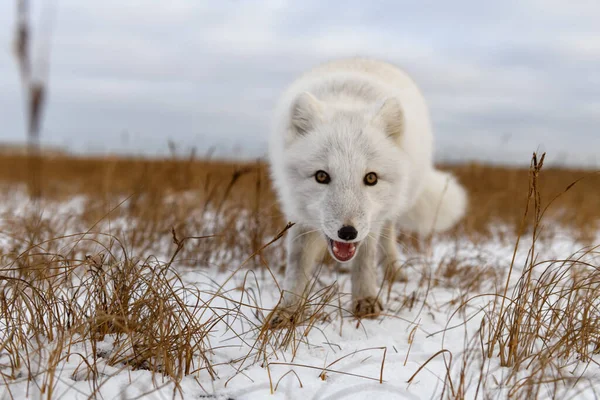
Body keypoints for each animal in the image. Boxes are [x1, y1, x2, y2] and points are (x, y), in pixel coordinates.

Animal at [268, 57, 468, 320]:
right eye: (321, 176)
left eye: (371, 178)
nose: (347, 233)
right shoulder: (297, 215)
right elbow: (297, 263)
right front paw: (288, 310)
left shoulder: (371, 226)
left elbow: (365, 259)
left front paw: (365, 300)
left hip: (392, 209)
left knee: (387, 238)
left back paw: (394, 272)